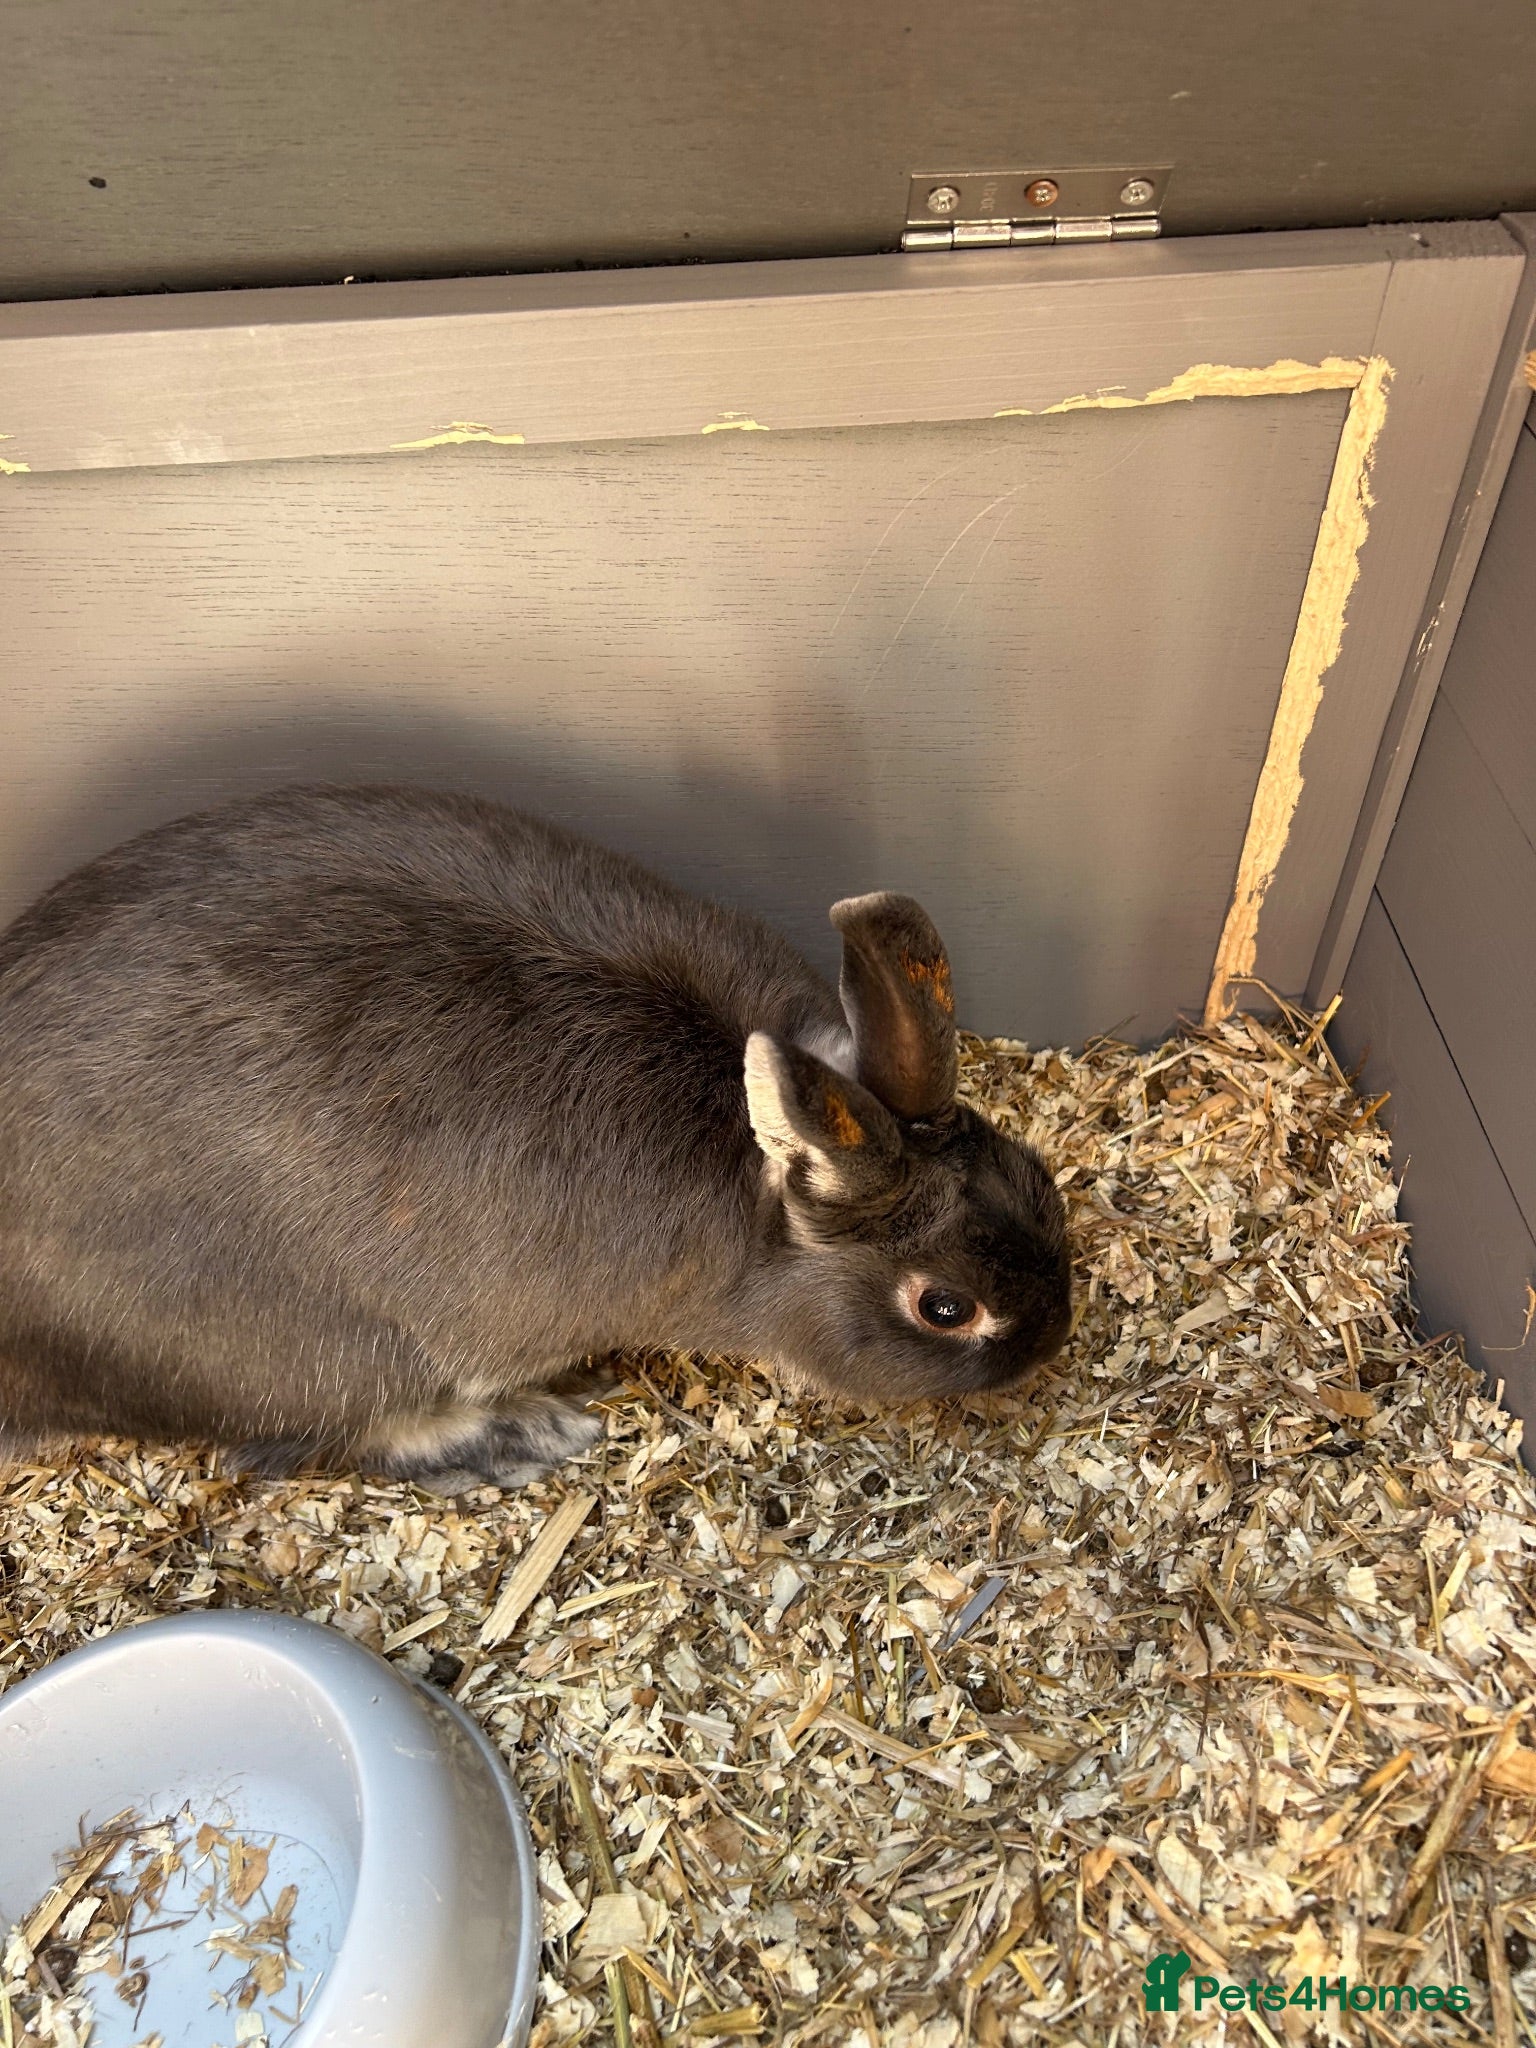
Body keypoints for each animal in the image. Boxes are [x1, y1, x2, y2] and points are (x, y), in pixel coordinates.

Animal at [0, 785, 1071, 1491]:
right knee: (302, 1444)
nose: (1051, 1340)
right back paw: (525, 1433)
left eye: (1040, 1180)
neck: (760, 1193)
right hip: (311, 1354)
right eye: (944, 1308)